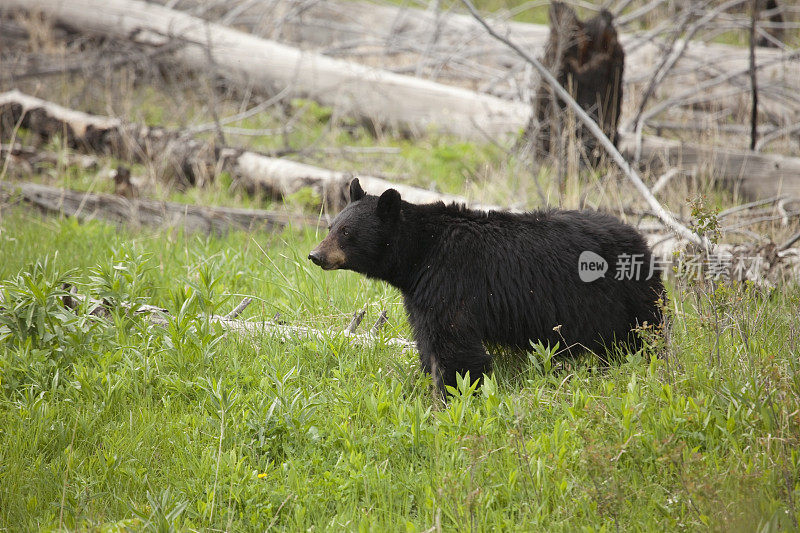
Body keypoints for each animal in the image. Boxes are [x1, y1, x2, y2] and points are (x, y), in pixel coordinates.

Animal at [310, 179, 664, 390]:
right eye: (331, 226)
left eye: (346, 232)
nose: (315, 255)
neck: (420, 252)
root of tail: (642, 239)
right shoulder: (421, 291)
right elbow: (427, 339)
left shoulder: (451, 279)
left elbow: (452, 342)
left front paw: (456, 392)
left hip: (625, 295)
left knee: (645, 334)